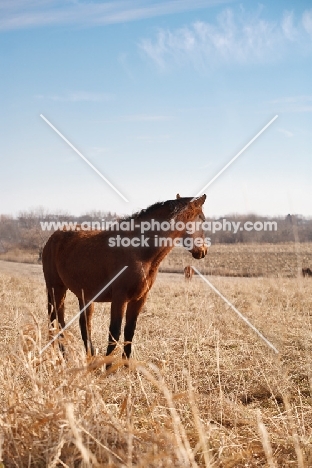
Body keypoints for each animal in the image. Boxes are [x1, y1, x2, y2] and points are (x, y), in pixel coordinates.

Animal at [41, 194, 207, 366]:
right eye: (202, 219)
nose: (203, 251)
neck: (140, 252)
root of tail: (52, 238)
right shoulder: (119, 298)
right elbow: (115, 332)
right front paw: (108, 367)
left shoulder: (140, 298)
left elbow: (129, 331)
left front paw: (126, 365)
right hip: (56, 288)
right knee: (57, 320)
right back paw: (63, 356)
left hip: (84, 295)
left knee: (84, 324)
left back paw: (89, 357)